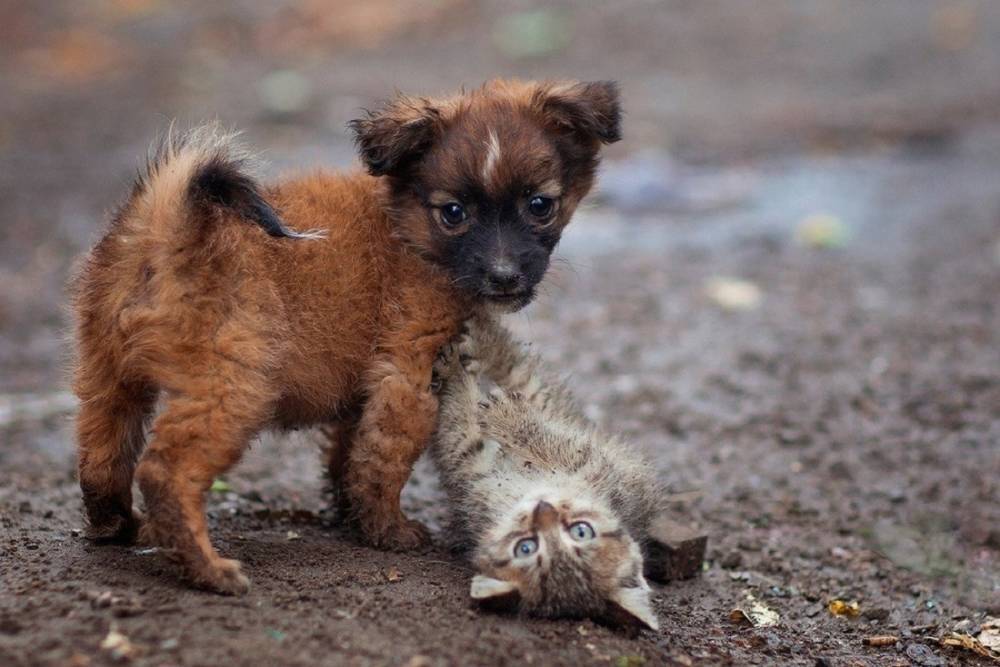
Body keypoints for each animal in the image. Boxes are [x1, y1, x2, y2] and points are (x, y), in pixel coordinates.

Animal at [72, 79, 616, 596]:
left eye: (540, 206)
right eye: (454, 213)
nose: (504, 277)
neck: (408, 230)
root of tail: (167, 228)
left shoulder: (365, 391)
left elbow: (352, 455)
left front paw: (352, 517)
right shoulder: (408, 375)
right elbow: (385, 460)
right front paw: (388, 531)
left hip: (107, 374)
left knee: (101, 454)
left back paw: (115, 525)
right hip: (232, 387)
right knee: (166, 473)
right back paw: (207, 569)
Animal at [434, 316, 668, 628]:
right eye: (583, 531)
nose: (544, 510)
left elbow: (465, 421)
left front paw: (458, 374)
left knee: (524, 375)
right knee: (521, 370)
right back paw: (482, 336)